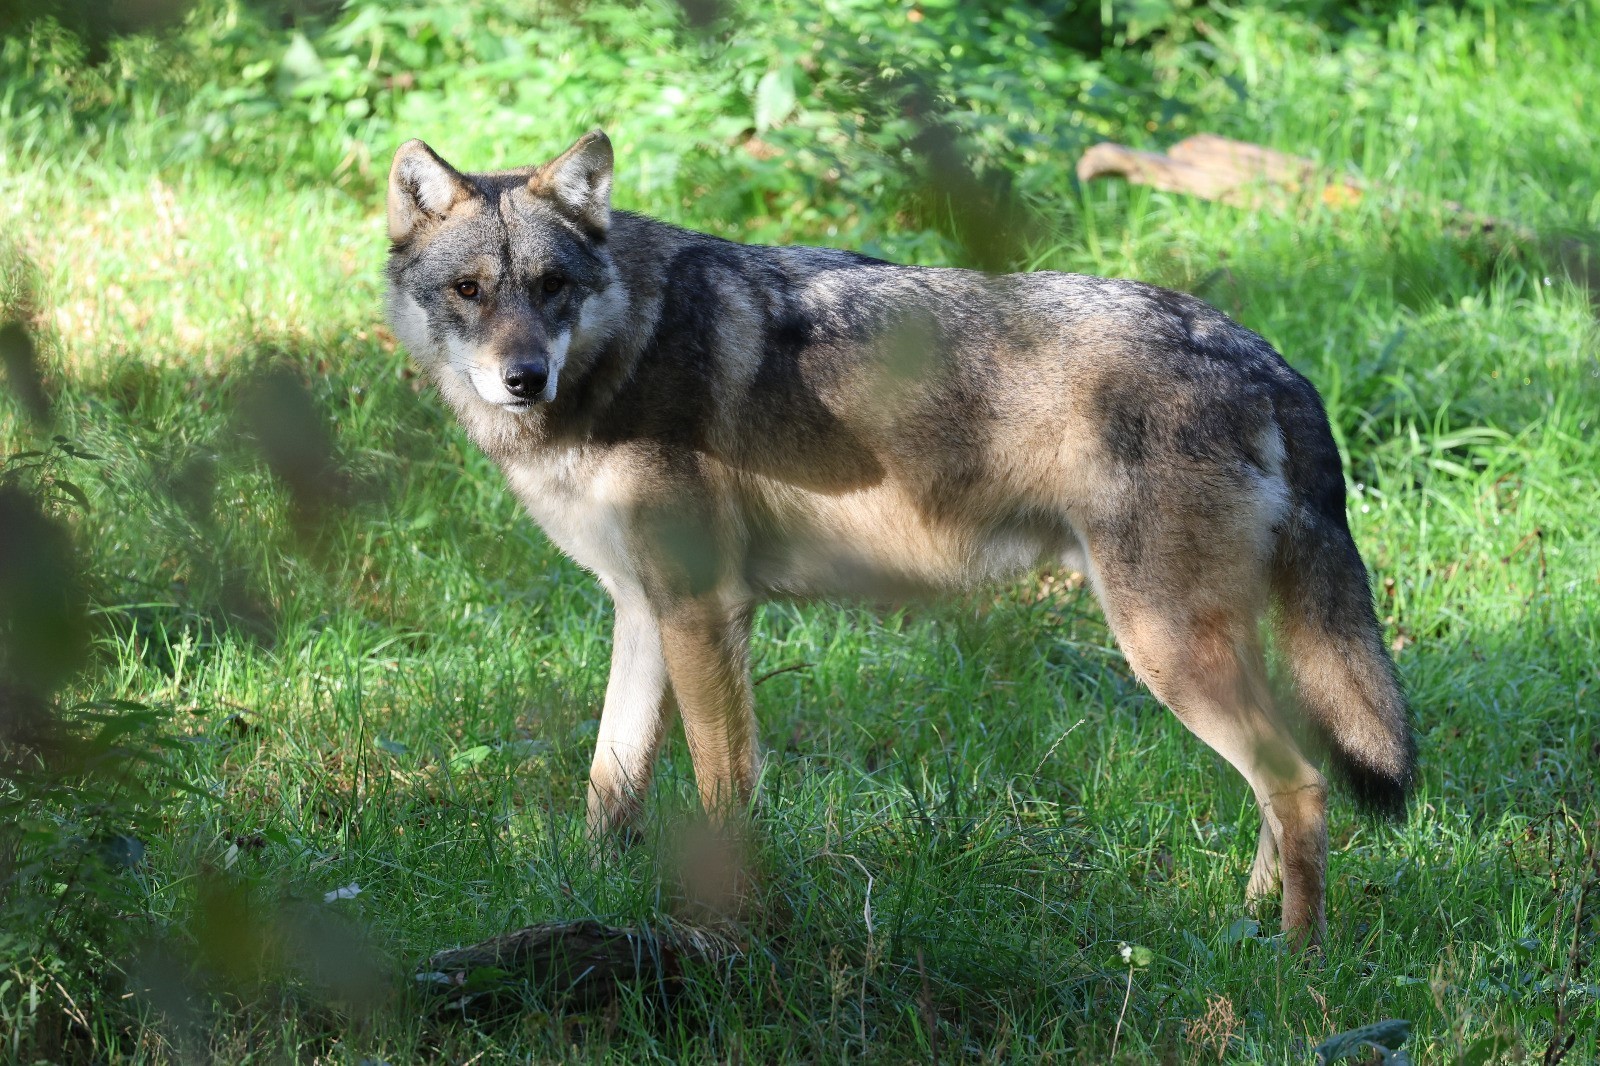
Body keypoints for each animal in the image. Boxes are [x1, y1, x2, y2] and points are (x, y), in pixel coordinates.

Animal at [384, 128, 1414, 941]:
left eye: (552, 286)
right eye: (470, 290)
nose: (524, 378)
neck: (623, 356)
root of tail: (1263, 352)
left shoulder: (705, 610)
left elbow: (723, 789)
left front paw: (726, 923)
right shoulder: (645, 611)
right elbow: (610, 784)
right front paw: (589, 900)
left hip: (1166, 649)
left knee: (1301, 784)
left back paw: (1293, 962)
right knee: (1283, 788)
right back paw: (1243, 926)